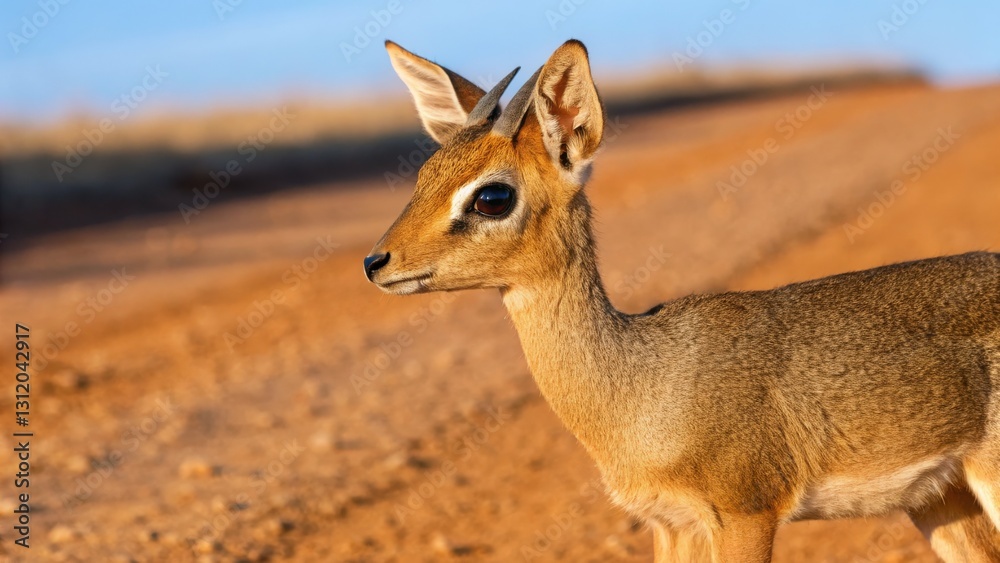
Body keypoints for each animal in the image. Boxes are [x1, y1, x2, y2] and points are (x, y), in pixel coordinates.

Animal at [364, 39, 1000, 562]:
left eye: (492, 195)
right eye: (425, 173)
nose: (375, 262)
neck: (646, 386)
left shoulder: (745, 514)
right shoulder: (671, 524)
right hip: (941, 500)